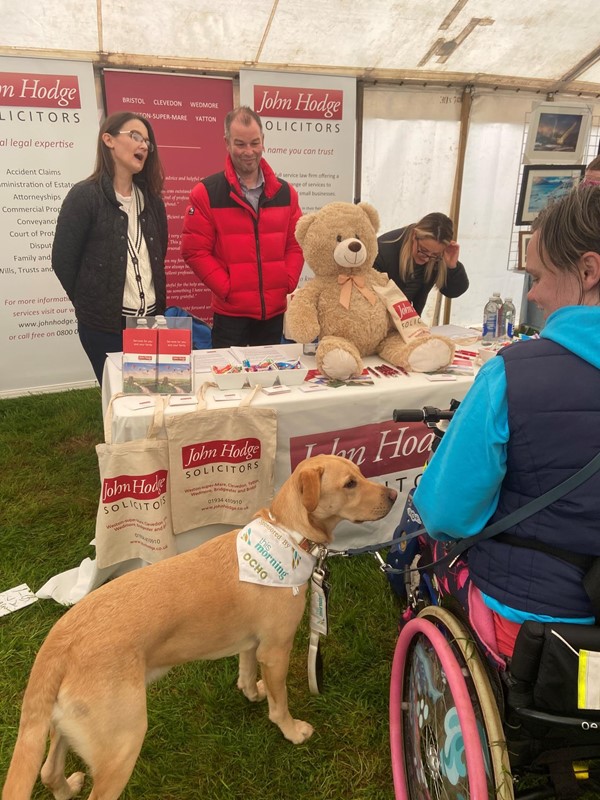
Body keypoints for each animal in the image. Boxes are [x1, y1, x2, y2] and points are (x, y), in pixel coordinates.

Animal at [5, 456, 398, 800]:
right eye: (350, 484)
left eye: (360, 474)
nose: (394, 495)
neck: (289, 534)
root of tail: (61, 639)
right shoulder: (276, 649)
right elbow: (280, 702)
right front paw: (291, 730)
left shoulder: (250, 643)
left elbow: (245, 675)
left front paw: (252, 693)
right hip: (122, 743)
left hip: (65, 727)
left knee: (48, 771)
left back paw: (65, 787)